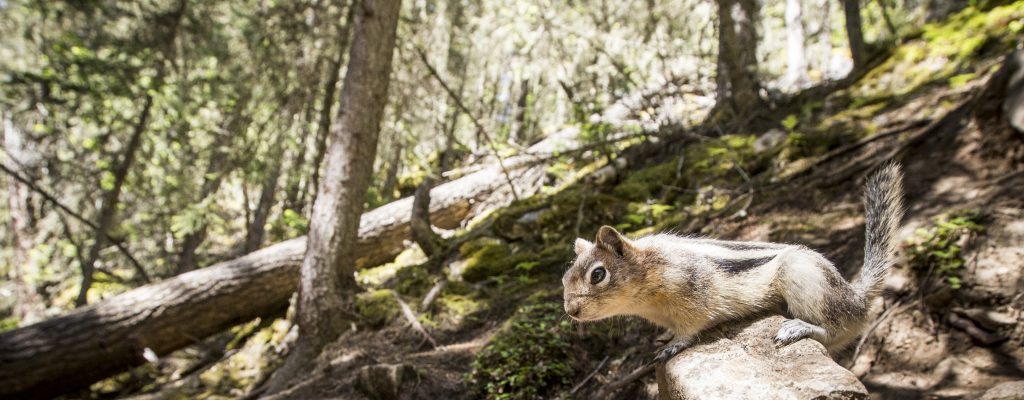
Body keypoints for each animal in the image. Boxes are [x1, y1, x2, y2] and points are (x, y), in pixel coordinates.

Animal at [562, 163, 904, 362]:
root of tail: (855, 296)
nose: (571, 311)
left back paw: (798, 328)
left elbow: (691, 326)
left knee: (833, 329)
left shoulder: (692, 295)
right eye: (565, 279)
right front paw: (666, 337)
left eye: (598, 274)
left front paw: (674, 344)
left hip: (802, 277)